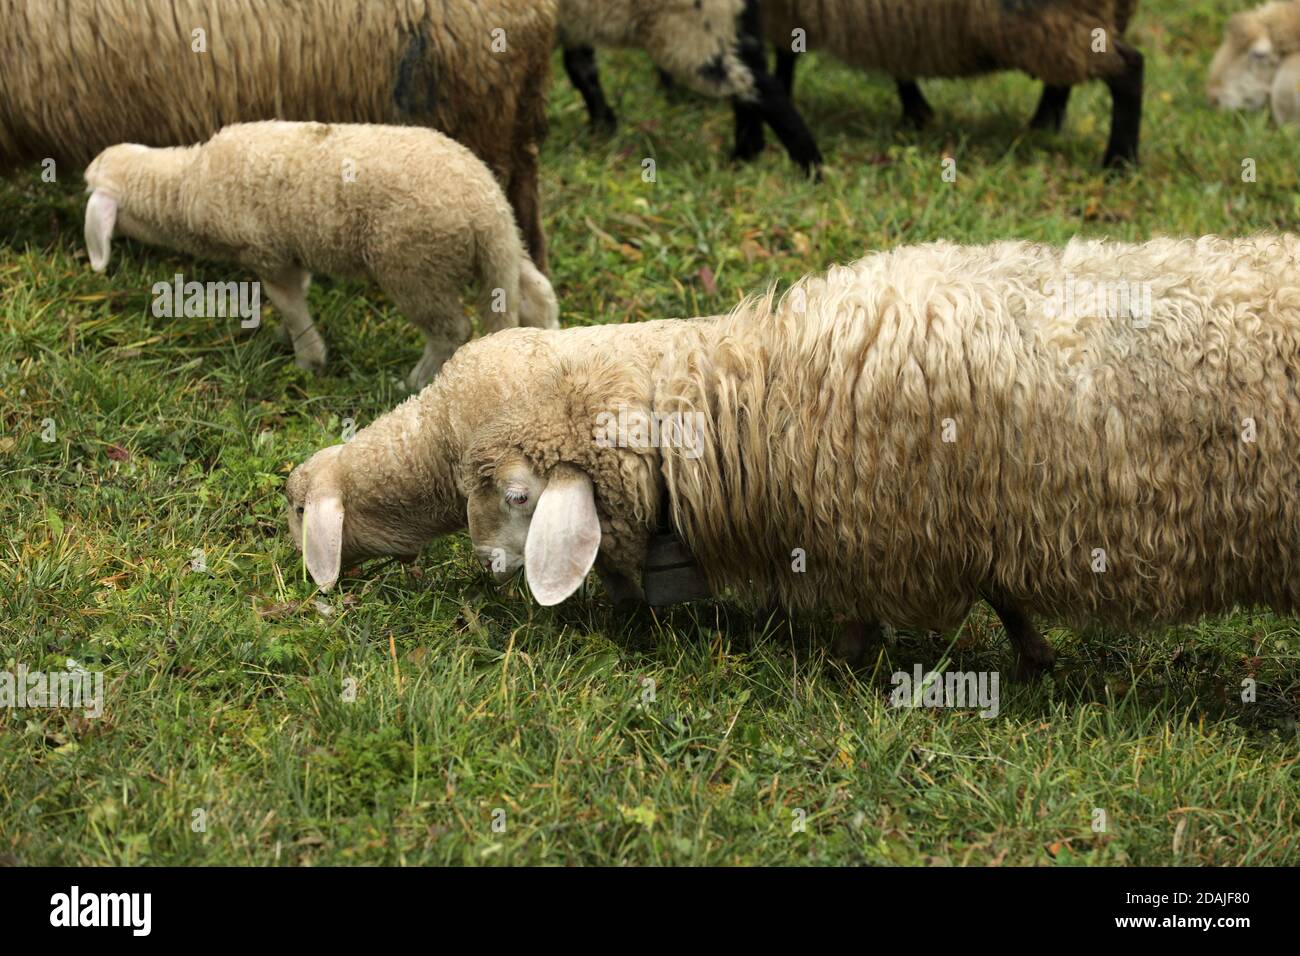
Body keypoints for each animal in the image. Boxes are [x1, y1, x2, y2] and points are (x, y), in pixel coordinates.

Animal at [83, 122, 559, 389]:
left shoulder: (267, 253)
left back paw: (412, 381)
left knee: (451, 328)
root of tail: (488, 207)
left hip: (413, 262)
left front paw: (308, 359)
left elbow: (290, 305)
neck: (185, 185)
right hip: (501, 251)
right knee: (538, 295)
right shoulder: (290, 251)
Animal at [460, 234, 1300, 676]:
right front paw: (1035, 657)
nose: (486, 571)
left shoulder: (893, 527)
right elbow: (1003, 593)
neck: (769, 395)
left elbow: (876, 608)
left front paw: (844, 663)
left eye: (517, 496)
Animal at [555, 0, 822, 173]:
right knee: (751, 76)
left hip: (688, 32)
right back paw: (745, 156)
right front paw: (603, 126)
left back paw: (811, 169)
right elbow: (580, 67)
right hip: (730, 26)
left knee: (763, 89)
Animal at [749, 0, 1144, 168]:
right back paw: (1043, 125)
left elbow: (783, 57)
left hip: (1049, 20)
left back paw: (1119, 163)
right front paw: (917, 112)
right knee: (1065, 78)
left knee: (1129, 70)